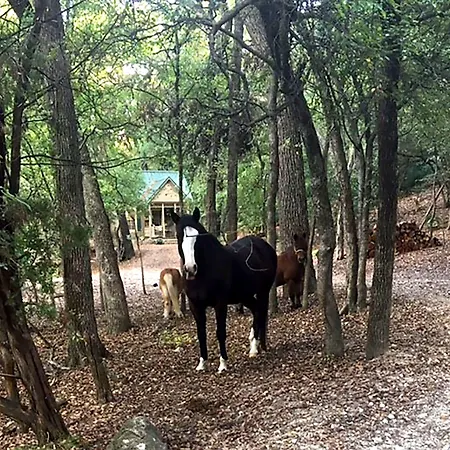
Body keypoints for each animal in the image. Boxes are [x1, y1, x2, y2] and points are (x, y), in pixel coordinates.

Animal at [170, 207, 277, 373]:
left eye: (197, 237)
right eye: (179, 235)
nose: (190, 268)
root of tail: (265, 246)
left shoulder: (220, 304)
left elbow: (220, 332)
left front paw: (223, 364)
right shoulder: (196, 306)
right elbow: (201, 334)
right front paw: (202, 363)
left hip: (263, 292)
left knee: (261, 313)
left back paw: (256, 347)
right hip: (245, 295)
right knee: (257, 310)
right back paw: (254, 346)